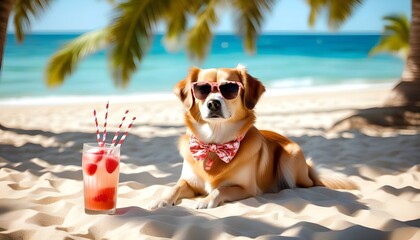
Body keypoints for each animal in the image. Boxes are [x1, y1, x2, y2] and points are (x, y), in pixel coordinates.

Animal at [149, 64, 356, 209]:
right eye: (202, 89)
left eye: (230, 89)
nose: (213, 103)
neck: (215, 142)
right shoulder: (189, 182)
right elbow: (174, 186)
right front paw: (161, 199)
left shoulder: (246, 188)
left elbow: (219, 189)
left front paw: (206, 200)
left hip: (290, 158)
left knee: (306, 184)